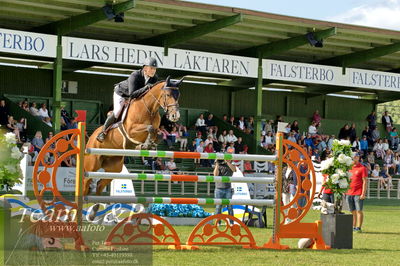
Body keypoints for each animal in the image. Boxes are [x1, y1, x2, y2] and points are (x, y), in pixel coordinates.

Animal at [83, 77, 184, 218]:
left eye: (178, 95)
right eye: (168, 95)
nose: (175, 116)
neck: (149, 109)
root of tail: (91, 137)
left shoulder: (155, 129)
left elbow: (157, 133)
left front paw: (148, 144)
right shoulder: (131, 130)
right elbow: (150, 128)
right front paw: (145, 144)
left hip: (114, 168)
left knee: (99, 185)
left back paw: (95, 212)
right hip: (92, 164)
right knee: (86, 183)